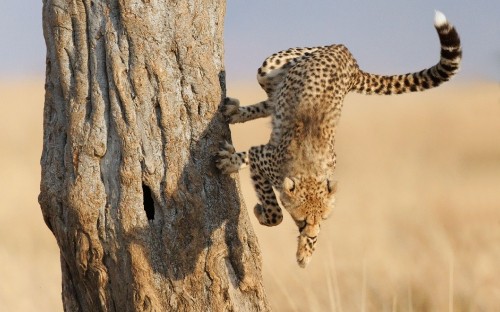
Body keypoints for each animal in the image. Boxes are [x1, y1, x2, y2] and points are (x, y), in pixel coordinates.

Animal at [217, 11, 462, 266]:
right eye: (302, 220)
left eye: (323, 219)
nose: (312, 234)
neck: (309, 170)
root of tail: (349, 57)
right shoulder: (262, 156)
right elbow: (274, 210)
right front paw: (260, 207)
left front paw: (306, 251)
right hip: (271, 65)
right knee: (272, 98)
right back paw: (236, 117)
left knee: (273, 101)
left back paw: (236, 114)